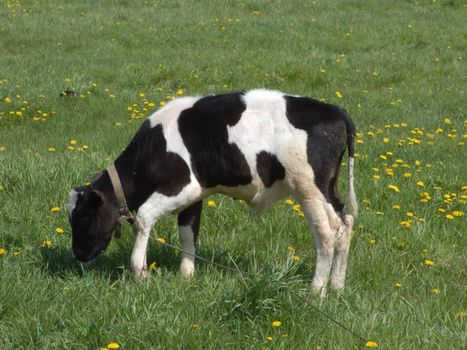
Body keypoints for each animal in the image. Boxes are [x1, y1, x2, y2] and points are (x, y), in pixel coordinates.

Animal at [67, 89, 356, 292]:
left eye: (83, 218)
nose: (77, 255)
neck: (154, 146)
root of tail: (334, 109)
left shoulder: (184, 184)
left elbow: (144, 217)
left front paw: (140, 272)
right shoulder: (195, 196)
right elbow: (187, 232)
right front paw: (186, 276)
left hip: (309, 188)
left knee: (327, 233)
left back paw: (316, 291)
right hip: (329, 188)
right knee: (346, 223)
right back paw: (337, 286)